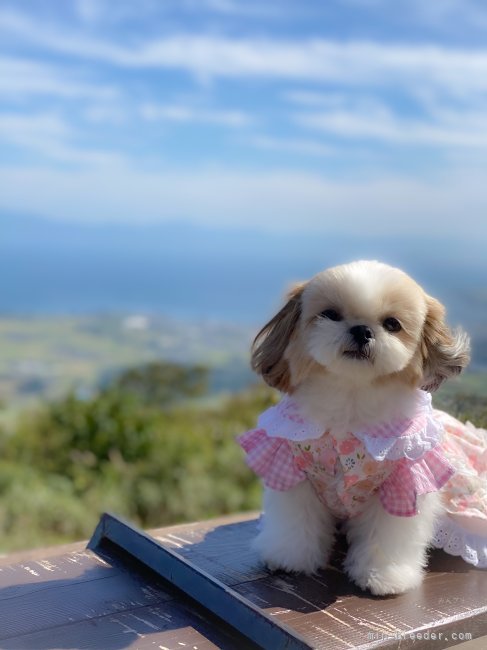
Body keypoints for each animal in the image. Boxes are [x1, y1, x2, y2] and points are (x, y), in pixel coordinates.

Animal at [248, 258, 468, 592]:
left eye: (392, 324)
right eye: (330, 314)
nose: (362, 330)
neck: (351, 397)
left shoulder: (402, 482)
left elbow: (386, 534)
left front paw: (383, 576)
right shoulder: (292, 468)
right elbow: (296, 521)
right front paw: (289, 557)